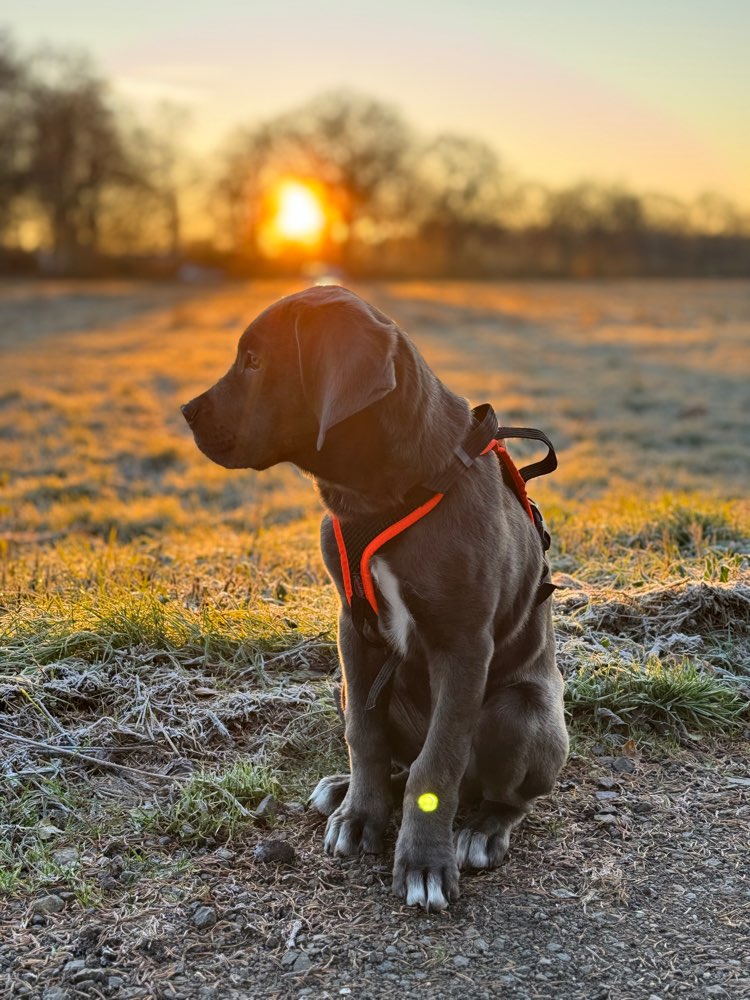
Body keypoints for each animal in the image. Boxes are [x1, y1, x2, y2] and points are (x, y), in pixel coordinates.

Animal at [184, 286, 568, 912]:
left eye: (255, 361)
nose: (186, 412)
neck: (378, 492)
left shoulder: (463, 643)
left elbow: (438, 763)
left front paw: (424, 862)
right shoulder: (353, 629)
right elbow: (363, 736)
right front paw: (361, 813)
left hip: (522, 714)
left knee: (497, 792)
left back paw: (483, 830)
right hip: (348, 686)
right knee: (396, 758)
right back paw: (343, 791)